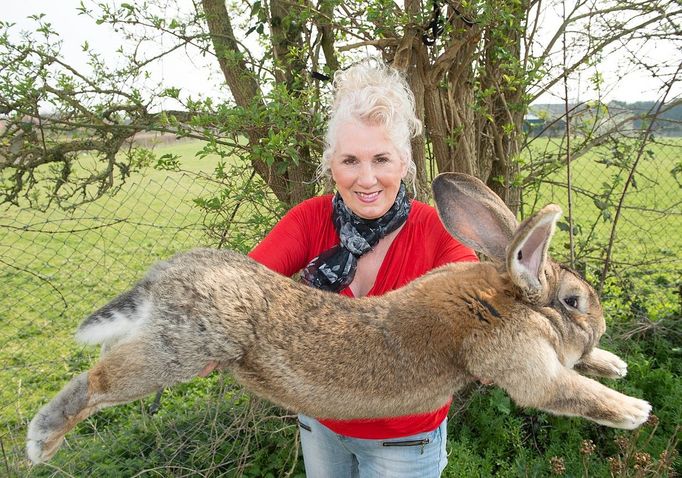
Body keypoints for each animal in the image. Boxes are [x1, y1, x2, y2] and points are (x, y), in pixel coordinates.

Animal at [26, 175, 648, 464]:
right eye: (574, 301)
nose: (600, 326)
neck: (506, 299)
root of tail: (164, 278)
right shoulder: (524, 366)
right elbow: (568, 391)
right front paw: (634, 410)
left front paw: (613, 363)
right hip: (179, 351)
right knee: (97, 381)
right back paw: (41, 444)